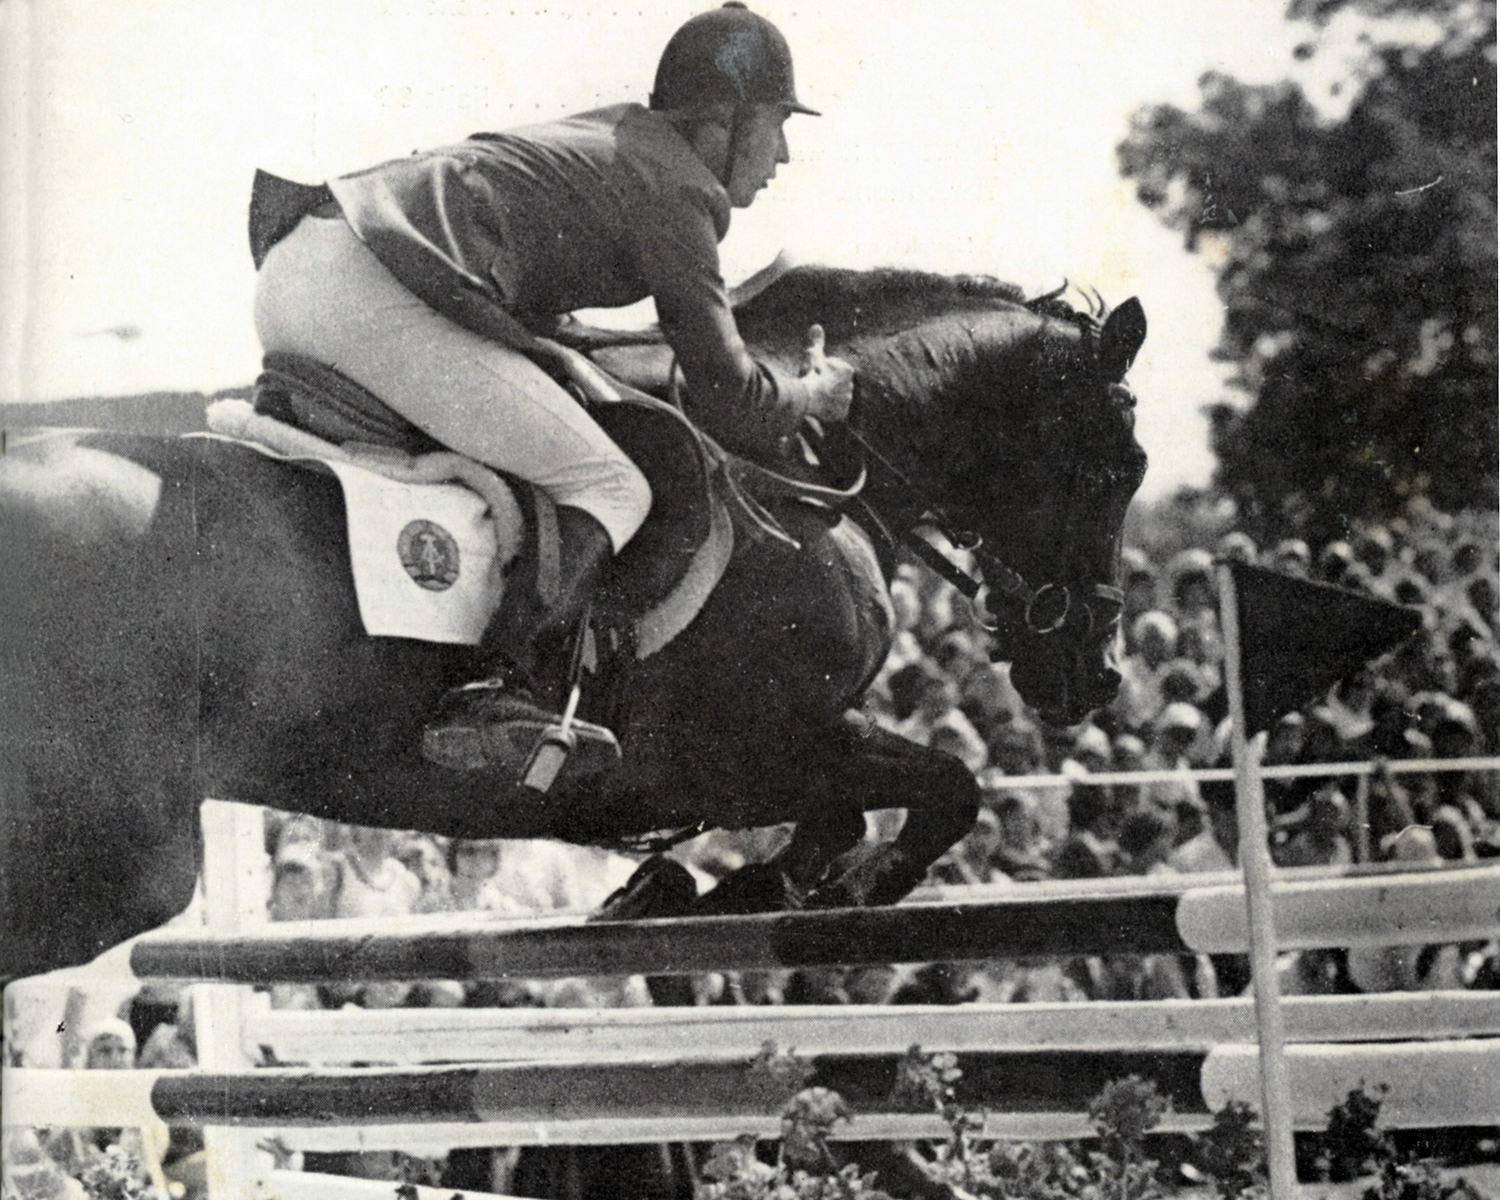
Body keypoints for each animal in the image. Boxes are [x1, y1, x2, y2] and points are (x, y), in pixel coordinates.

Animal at [0, 267, 1146, 978]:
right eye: (1118, 470)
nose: (1093, 675)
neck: (802, 474)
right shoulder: (742, 755)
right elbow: (944, 788)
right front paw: (847, 886)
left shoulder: (782, 753)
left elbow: (844, 822)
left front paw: (696, 890)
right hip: (120, 857)